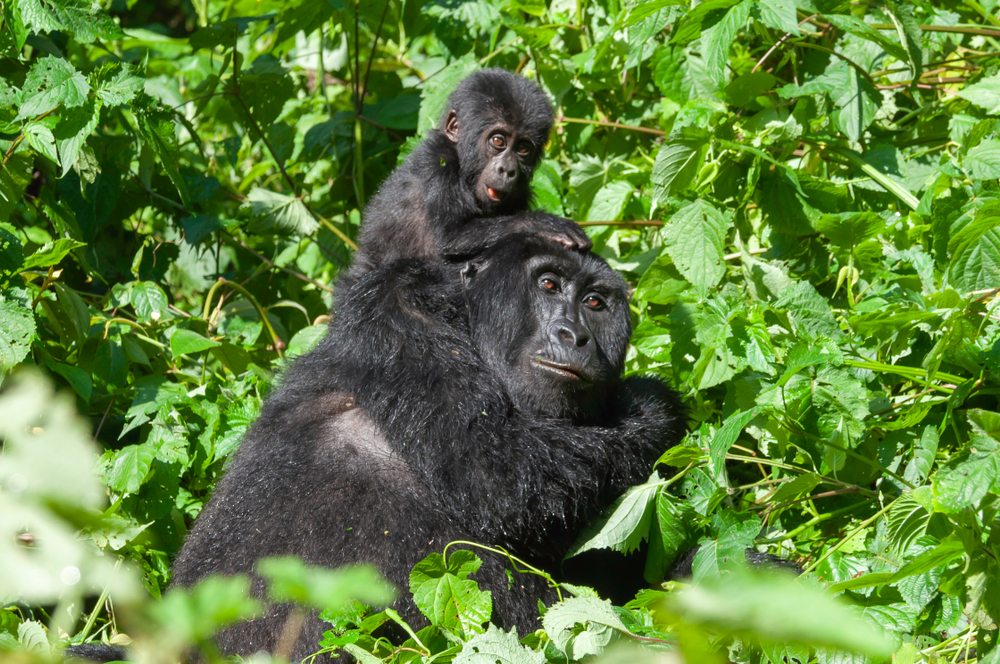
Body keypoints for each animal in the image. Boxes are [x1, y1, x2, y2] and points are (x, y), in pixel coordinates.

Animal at [170, 232, 688, 660]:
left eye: (596, 302)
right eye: (547, 284)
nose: (574, 335)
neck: (466, 312)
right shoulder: (400, 312)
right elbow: (500, 470)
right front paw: (653, 407)